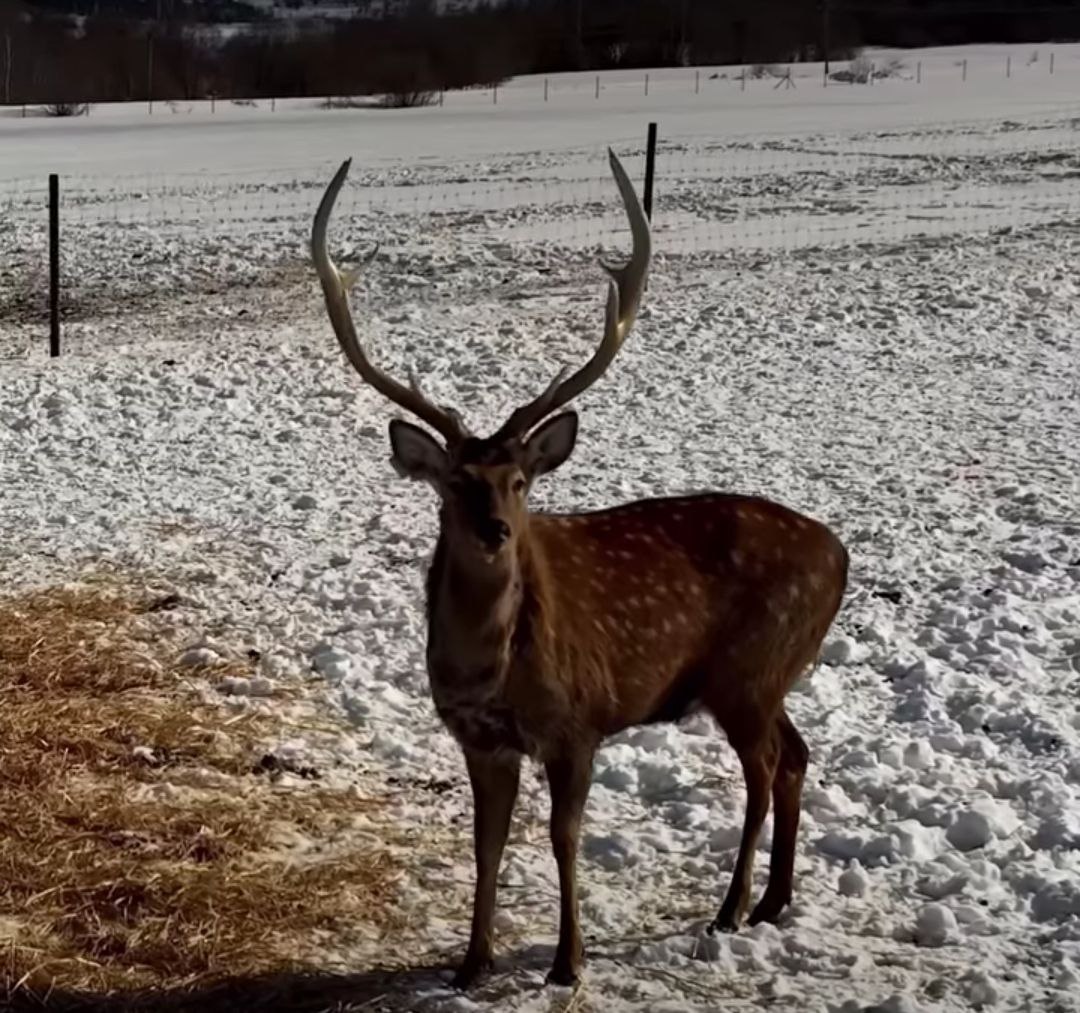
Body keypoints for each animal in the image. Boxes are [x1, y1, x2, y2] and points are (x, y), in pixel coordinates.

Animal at [313, 152, 851, 989]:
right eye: (455, 481)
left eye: (519, 480)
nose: (497, 530)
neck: (490, 672)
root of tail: (842, 555)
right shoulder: (478, 737)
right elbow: (487, 842)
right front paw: (471, 962)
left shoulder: (579, 722)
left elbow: (563, 836)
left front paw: (567, 961)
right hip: (766, 674)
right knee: (795, 755)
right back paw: (771, 902)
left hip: (751, 668)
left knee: (763, 769)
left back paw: (729, 908)